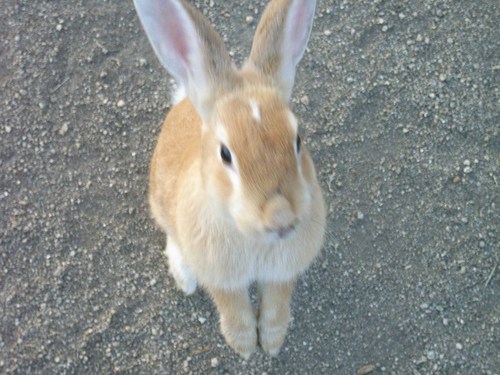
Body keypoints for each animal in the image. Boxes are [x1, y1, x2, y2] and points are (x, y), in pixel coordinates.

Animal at [135, 0, 326, 360]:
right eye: (225, 154)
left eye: (298, 139)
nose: (281, 217)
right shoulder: (222, 278)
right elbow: (234, 309)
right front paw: (245, 347)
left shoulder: (283, 273)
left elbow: (276, 306)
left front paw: (272, 343)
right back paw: (185, 278)